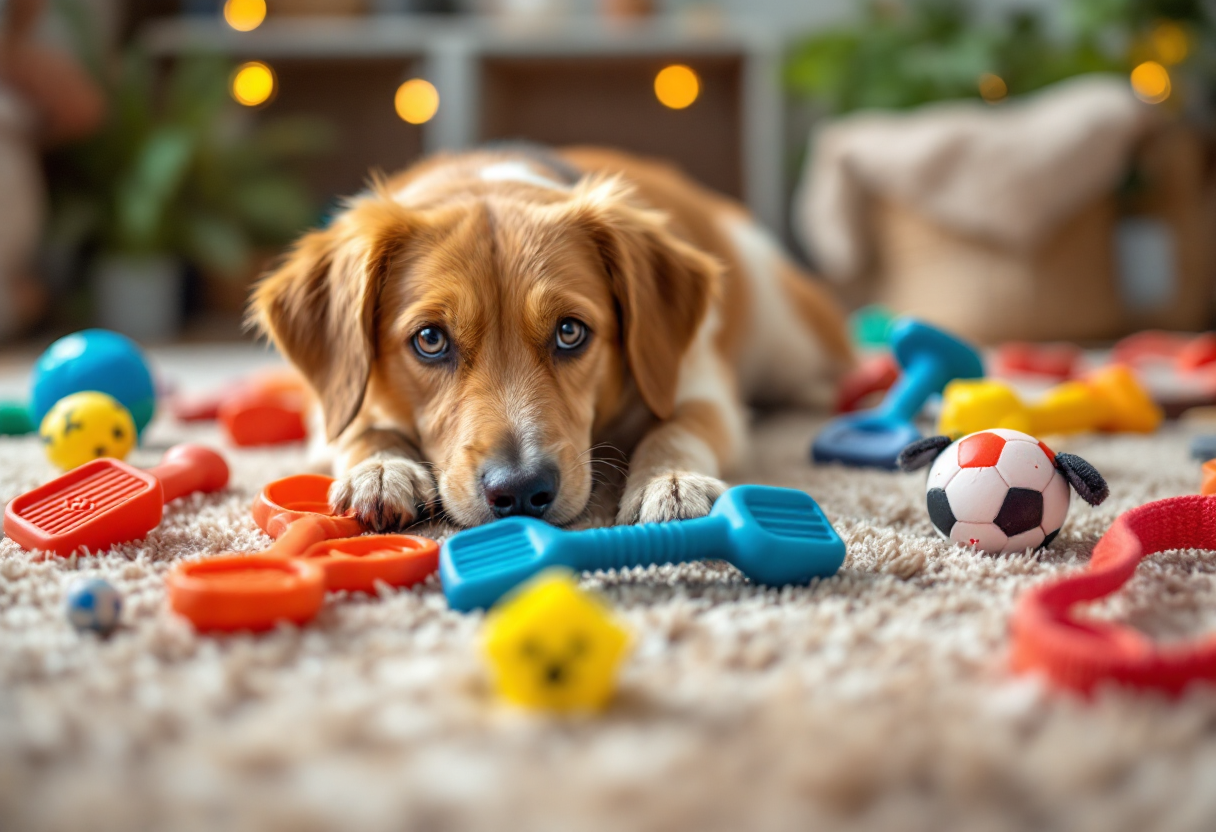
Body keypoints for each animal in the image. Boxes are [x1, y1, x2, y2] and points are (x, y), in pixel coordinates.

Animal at [251, 145, 851, 530]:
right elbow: (359, 427)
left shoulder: (700, 387)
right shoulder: (327, 406)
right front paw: (380, 471)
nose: (520, 490)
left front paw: (671, 482)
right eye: (430, 340)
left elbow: (679, 426)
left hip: (786, 339)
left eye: (569, 331)